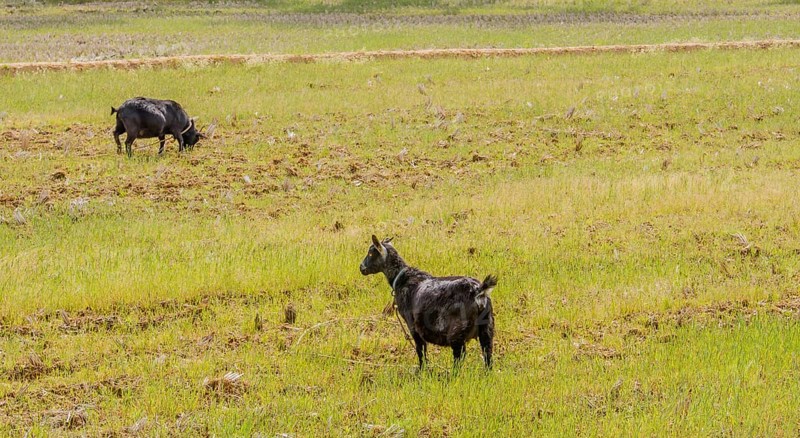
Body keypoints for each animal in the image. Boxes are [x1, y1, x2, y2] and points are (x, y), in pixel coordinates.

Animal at [360, 235, 495, 370]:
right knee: (487, 355)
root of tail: (479, 291)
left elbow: (421, 350)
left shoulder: (413, 326)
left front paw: (421, 370)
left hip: (457, 332)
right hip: (487, 328)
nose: (361, 267)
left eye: (371, 253)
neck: (402, 278)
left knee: (459, 356)